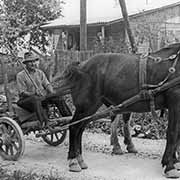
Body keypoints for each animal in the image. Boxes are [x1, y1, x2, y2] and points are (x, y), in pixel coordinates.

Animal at [56, 43, 180, 177]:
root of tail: (81, 65)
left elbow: (177, 135)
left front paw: (174, 162)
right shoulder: (175, 102)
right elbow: (173, 133)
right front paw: (170, 166)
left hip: (90, 108)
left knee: (80, 129)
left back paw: (80, 159)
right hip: (86, 106)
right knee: (74, 127)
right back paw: (73, 161)